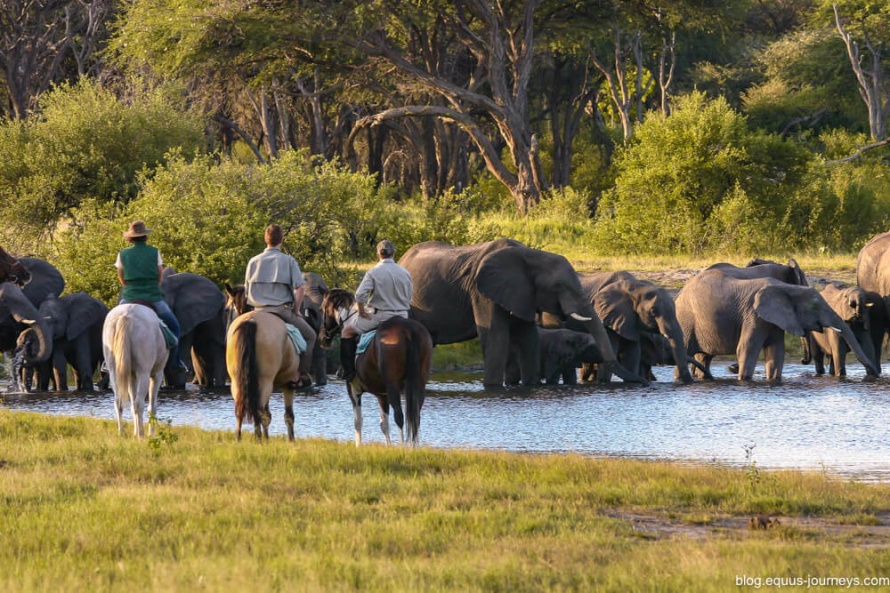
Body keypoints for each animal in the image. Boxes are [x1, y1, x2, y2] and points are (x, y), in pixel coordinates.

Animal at [102, 302, 168, 438]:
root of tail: (126, 315)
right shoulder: (157, 375)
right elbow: (152, 407)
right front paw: (150, 433)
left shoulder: (131, 376)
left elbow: (132, 405)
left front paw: (135, 432)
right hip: (144, 373)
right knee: (139, 403)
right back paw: (141, 435)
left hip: (114, 372)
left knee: (119, 402)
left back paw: (122, 432)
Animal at [224, 286, 300, 440]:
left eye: (227, 310)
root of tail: (251, 321)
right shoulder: (288, 383)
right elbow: (288, 416)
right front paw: (291, 440)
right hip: (266, 381)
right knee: (259, 410)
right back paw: (260, 439)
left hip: (237, 380)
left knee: (241, 407)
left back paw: (240, 438)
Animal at [320, 286, 432, 444]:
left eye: (321, 308)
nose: (323, 338)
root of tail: (408, 330)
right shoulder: (381, 395)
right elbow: (384, 424)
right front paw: (389, 447)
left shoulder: (353, 389)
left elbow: (358, 422)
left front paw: (358, 446)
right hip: (419, 384)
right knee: (415, 416)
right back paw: (413, 446)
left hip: (393, 386)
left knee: (399, 415)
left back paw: (403, 446)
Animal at [398, 238, 640, 386]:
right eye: (558, 286)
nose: (643, 383)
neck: (530, 255)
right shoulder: (482, 292)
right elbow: (495, 337)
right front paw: (493, 388)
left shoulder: (523, 294)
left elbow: (527, 338)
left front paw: (530, 385)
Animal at [672, 268, 876, 380]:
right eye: (816, 307)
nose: (874, 373)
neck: (787, 288)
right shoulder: (753, 315)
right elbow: (746, 348)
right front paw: (744, 380)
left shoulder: (774, 320)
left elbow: (776, 351)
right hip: (685, 319)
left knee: (703, 357)